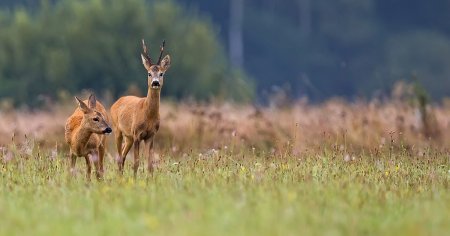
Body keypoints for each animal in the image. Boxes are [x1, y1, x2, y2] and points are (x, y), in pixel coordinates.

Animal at [110, 39, 171, 176]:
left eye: (161, 73)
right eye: (149, 73)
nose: (155, 82)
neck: (147, 115)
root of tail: (116, 102)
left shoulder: (151, 135)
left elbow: (150, 165)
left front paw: (150, 179)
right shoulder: (137, 133)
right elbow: (136, 163)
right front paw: (135, 179)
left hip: (129, 137)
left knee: (122, 155)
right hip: (117, 130)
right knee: (119, 156)